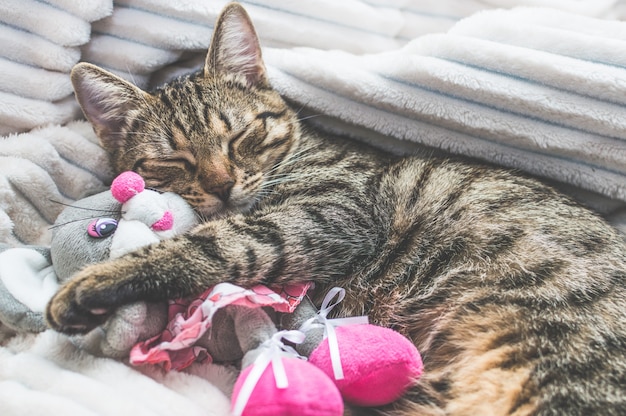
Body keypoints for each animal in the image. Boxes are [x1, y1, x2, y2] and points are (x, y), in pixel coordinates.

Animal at [48, 3, 624, 416]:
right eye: (172, 161)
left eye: (240, 136)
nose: (222, 185)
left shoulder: (329, 213)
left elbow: (214, 243)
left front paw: (89, 285)